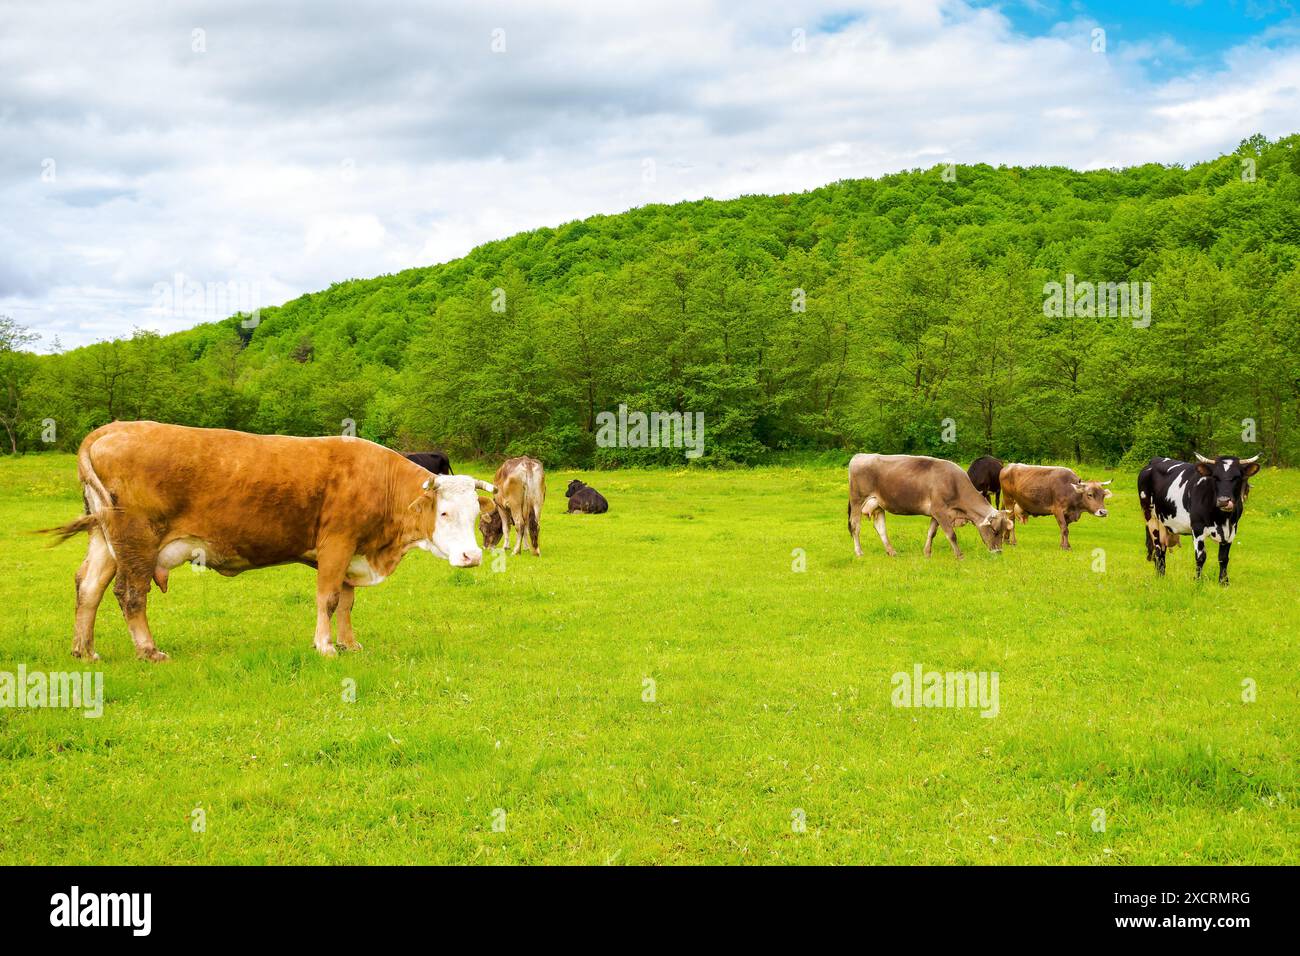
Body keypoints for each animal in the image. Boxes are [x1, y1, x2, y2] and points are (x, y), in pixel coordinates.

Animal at [40, 421, 495, 661]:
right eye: (444, 513)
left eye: (476, 515)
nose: (472, 556)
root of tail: (113, 428)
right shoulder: (337, 544)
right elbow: (329, 598)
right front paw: (325, 646)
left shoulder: (353, 552)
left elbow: (347, 602)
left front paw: (349, 643)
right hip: (136, 541)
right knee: (130, 593)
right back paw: (149, 650)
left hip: (105, 539)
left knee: (89, 587)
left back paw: (85, 650)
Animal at [848, 454, 1014, 559]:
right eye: (995, 531)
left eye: (1003, 531)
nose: (999, 552)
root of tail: (859, 456)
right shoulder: (940, 511)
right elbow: (951, 534)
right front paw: (959, 555)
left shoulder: (936, 513)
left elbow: (931, 533)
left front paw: (927, 553)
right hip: (857, 501)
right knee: (855, 526)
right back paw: (859, 552)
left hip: (877, 504)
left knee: (880, 527)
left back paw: (891, 551)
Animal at [1138, 454, 1260, 585]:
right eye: (1215, 477)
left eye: (1237, 477)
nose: (1223, 501)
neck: (1222, 519)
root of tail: (1154, 460)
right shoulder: (1197, 528)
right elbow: (1200, 557)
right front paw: (1197, 581)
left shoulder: (1231, 529)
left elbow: (1223, 558)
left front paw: (1224, 583)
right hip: (1151, 518)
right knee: (1158, 550)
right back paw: (1160, 577)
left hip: (1163, 523)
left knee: (1161, 549)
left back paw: (1160, 575)